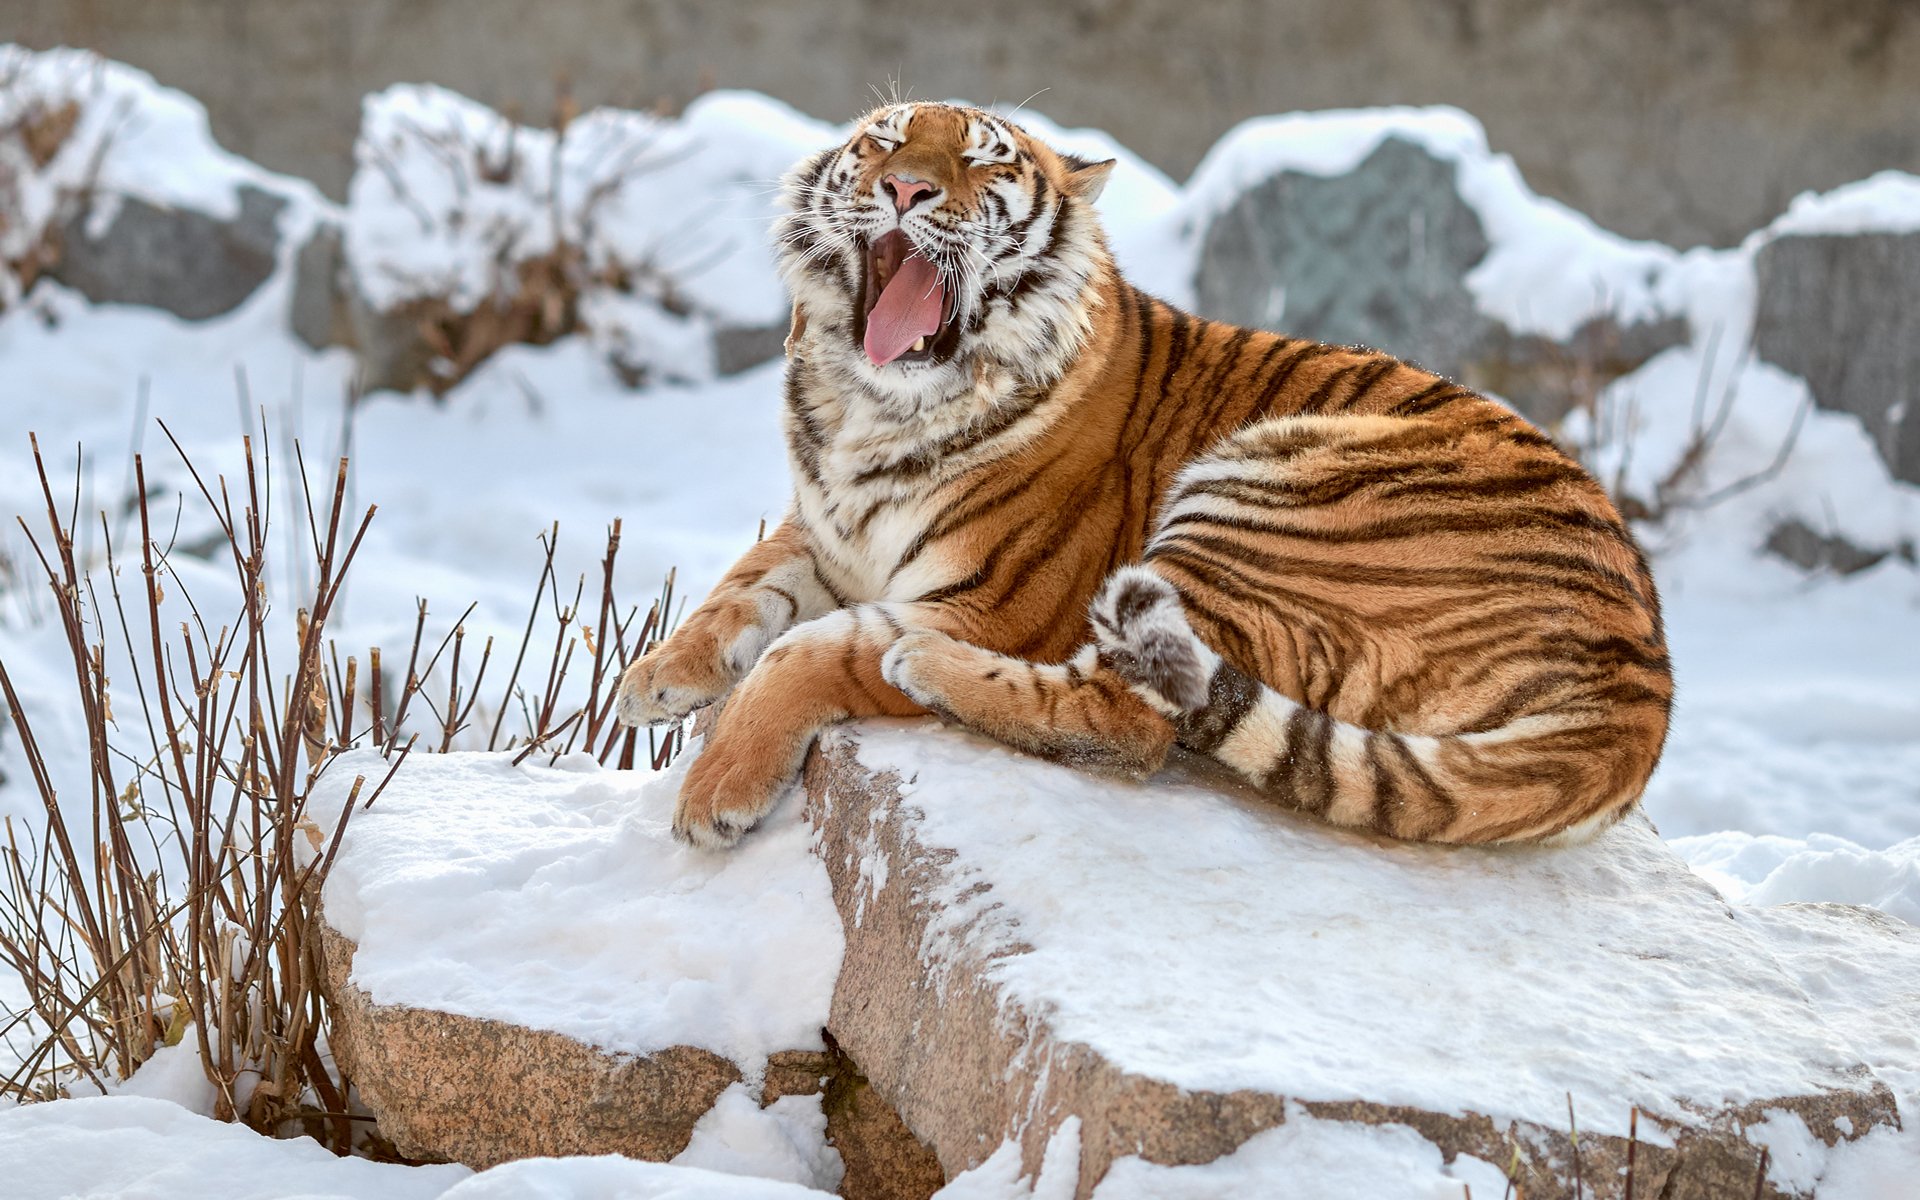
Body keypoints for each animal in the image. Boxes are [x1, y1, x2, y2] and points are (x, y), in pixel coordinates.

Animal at [614, 105, 1666, 852]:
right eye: (885, 140)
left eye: (985, 163)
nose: (907, 188)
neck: (870, 408)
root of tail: (1642, 685)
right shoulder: (829, 529)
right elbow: (745, 583)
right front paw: (656, 678)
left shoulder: (996, 601)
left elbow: (810, 649)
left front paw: (716, 789)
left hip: (1260, 495)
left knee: (1130, 718)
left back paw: (928, 667)